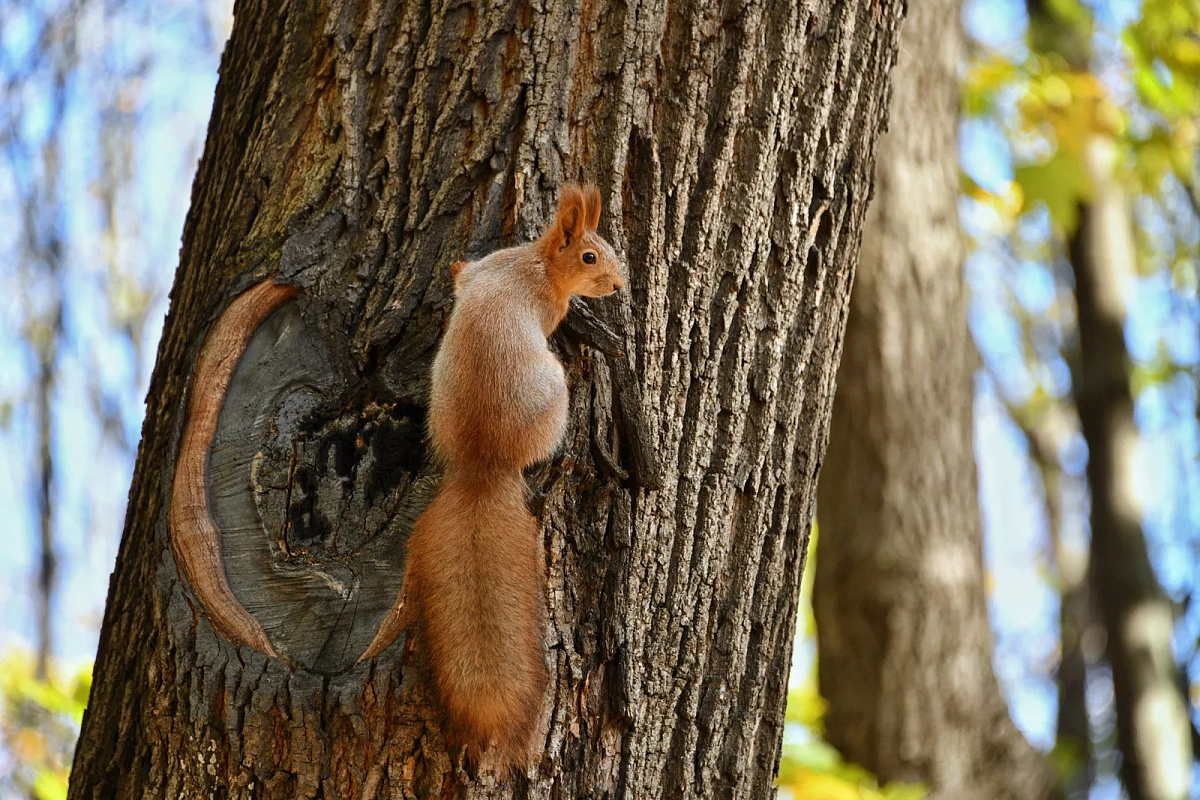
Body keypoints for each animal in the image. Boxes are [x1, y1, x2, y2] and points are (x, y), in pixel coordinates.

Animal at [405, 184, 628, 767]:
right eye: (590, 257)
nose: (619, 285)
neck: (535, 261)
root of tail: (483, 464)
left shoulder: (487, 266)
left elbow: (463, 273)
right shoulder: (550, 306)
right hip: (555, 397)